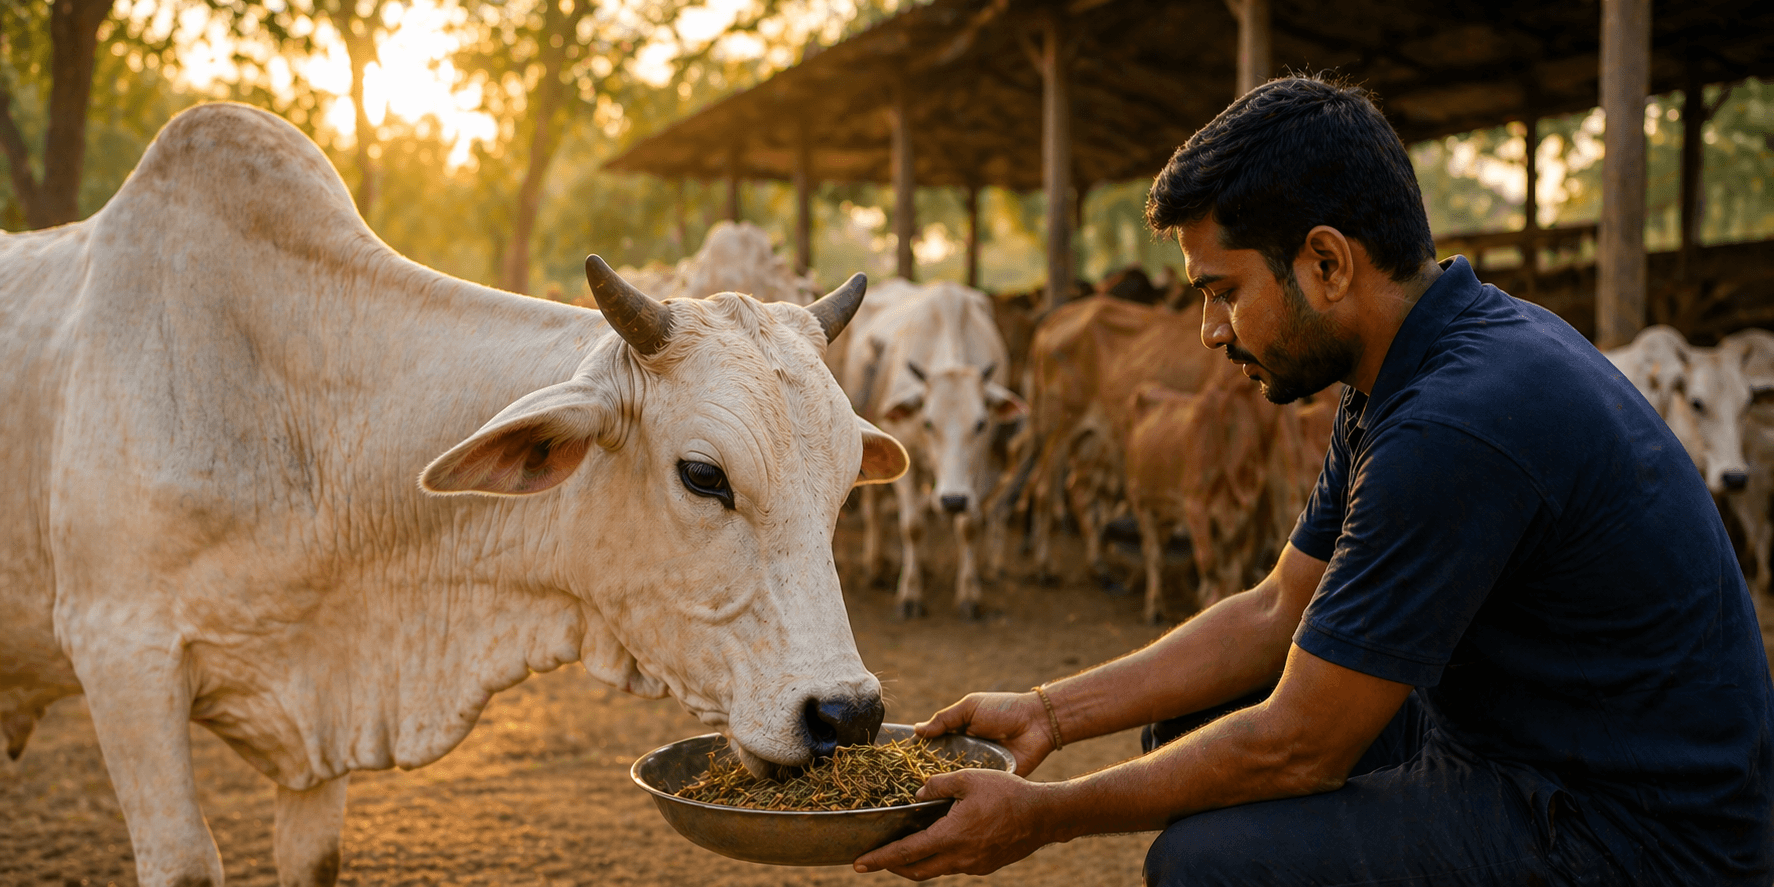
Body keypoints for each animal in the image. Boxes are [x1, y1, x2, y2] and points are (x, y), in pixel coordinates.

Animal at [0, 103, 910, 887]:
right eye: (703, 475)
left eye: (841, 486)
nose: (847, 715)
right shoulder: (122, 655)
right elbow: (185, 859)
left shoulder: (319, 710)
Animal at [835, 279, 1025, 619]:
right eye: (927, 422)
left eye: (980, 424)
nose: (952, 500)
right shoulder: (905, 457)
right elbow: (913, 526)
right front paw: (910, 594)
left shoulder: (978, 463)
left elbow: (970, 525)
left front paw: (969, 594)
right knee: (875, 507)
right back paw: (876, 565)